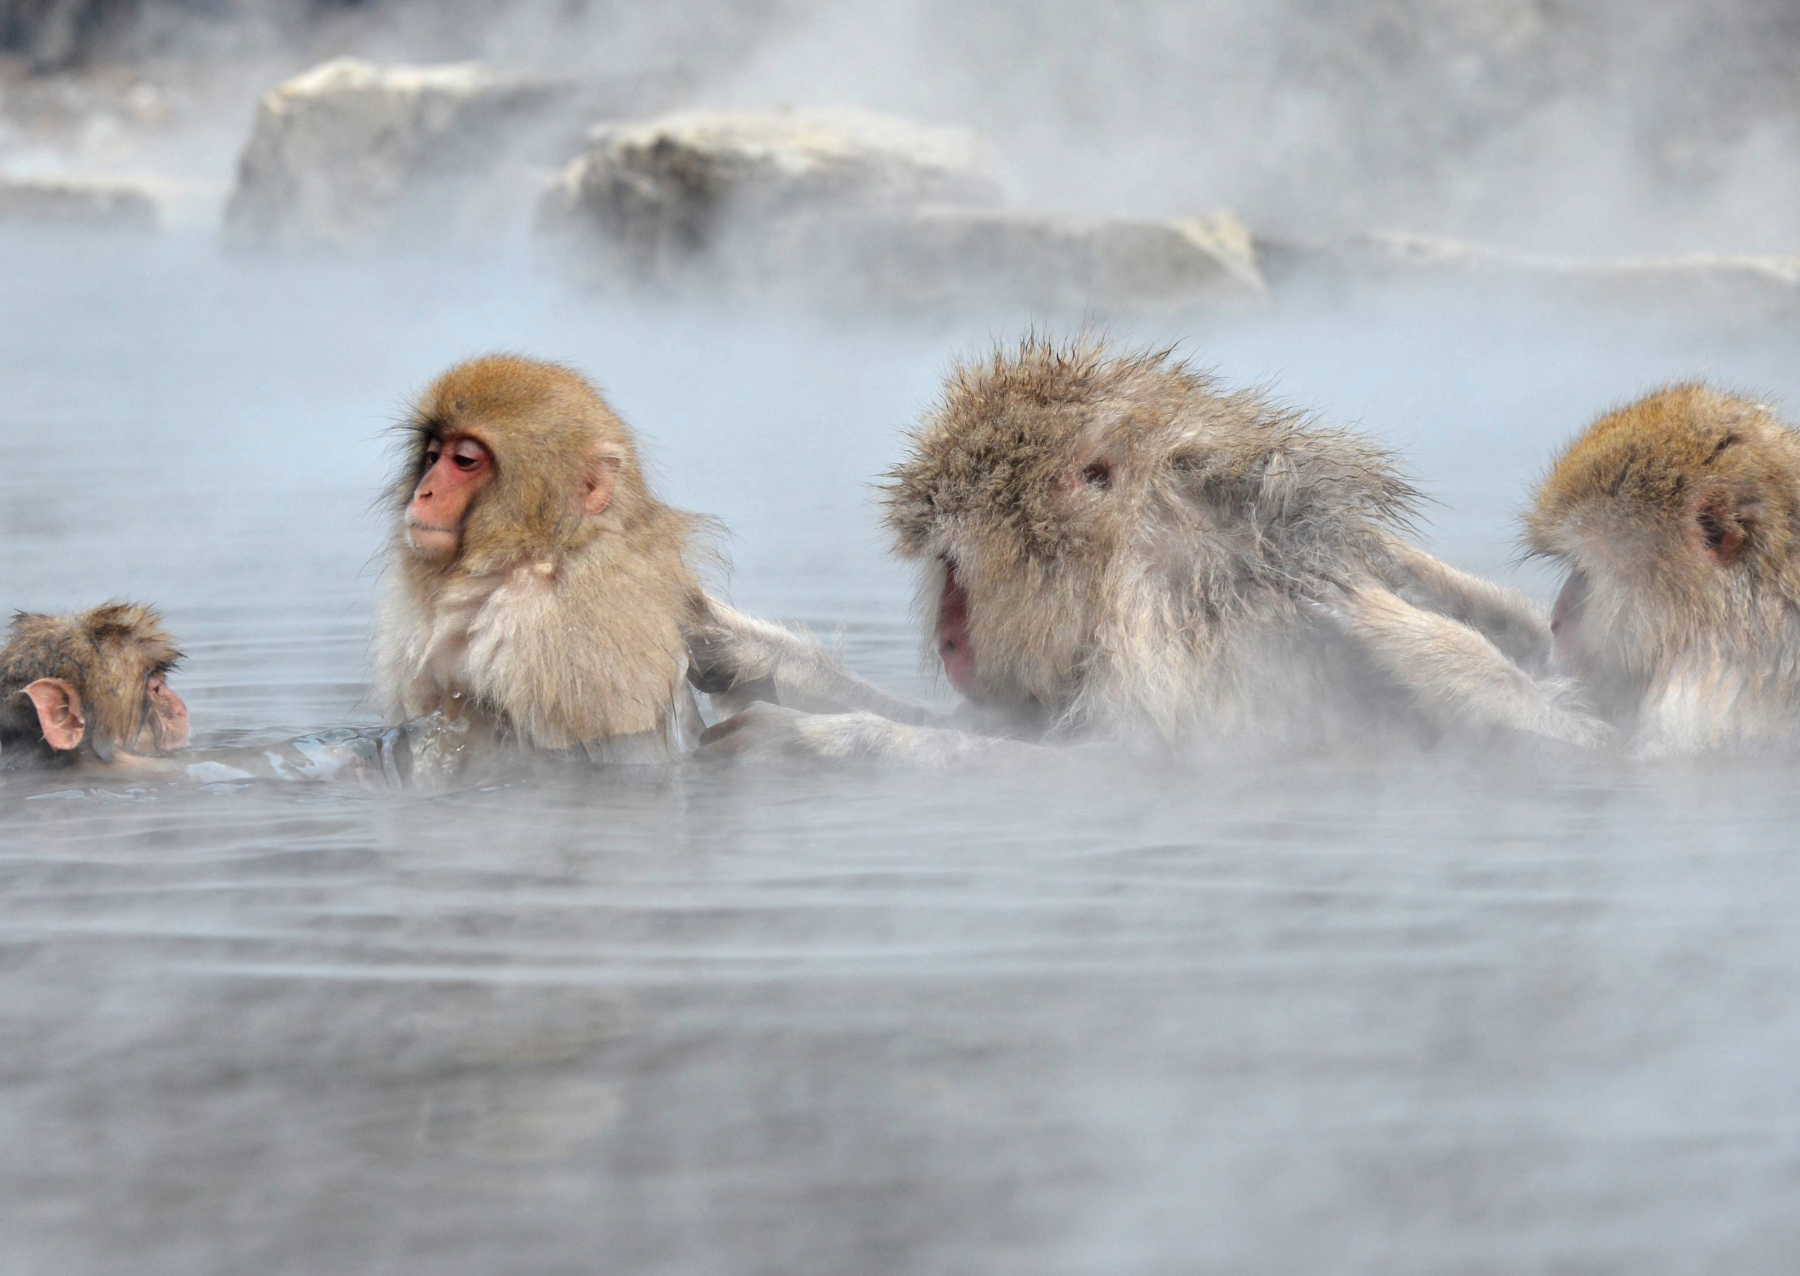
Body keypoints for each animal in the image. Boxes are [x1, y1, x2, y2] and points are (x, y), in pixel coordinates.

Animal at [689, 334, 1606, 764]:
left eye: (956, 566)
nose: (950, 639)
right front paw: (753, 655)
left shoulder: (1169, 618)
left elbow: (1122, 765)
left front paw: (822, 742)